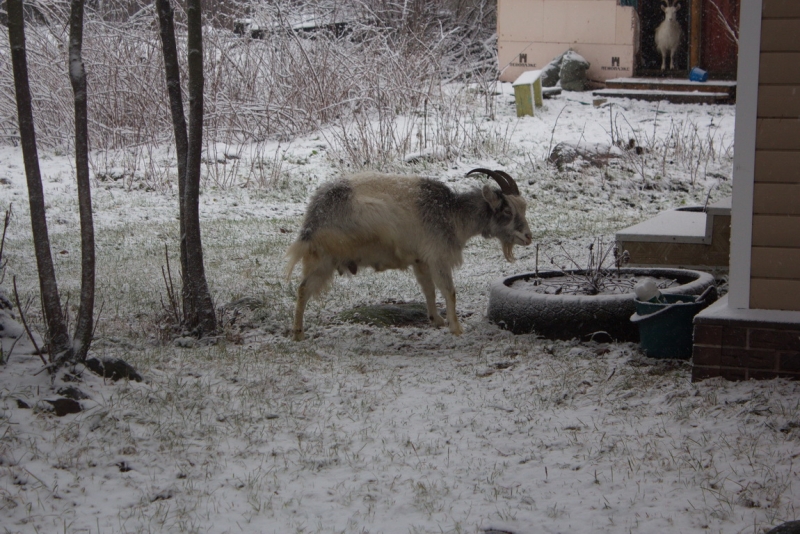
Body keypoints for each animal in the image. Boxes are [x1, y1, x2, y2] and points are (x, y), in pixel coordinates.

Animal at [286, 170, 532, 342]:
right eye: (507, 211)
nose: (528, 237)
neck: (451, 212)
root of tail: (313, 217)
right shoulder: (438, 256)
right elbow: (449, 291)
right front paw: (456, 328)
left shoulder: (420, 260)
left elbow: (429, 290)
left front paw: (436, 320)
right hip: (324, 259)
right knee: (304, 290)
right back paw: (298, 334)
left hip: (316, 259)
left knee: (302, 288)